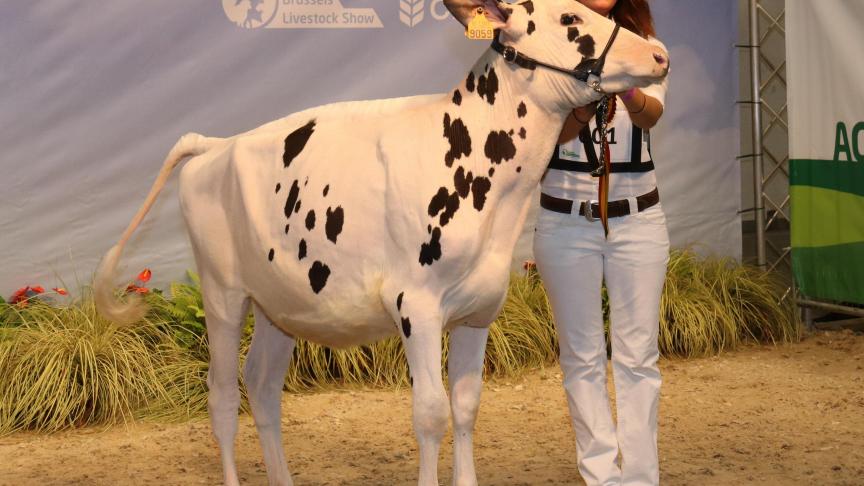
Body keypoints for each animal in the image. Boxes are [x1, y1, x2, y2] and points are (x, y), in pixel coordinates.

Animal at [94, 0, 668, 486]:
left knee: (261, 386)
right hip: (221, 294)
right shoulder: (415, 303)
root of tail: (216, 144)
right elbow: (430, 413)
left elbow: (466, 406)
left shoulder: (480, 308)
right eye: (570, 18)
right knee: (220, 398)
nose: (659, 54)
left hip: (280, 303)